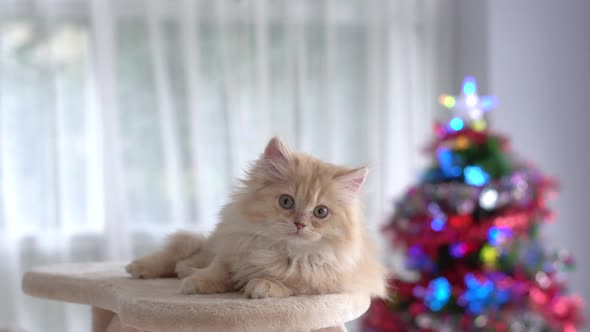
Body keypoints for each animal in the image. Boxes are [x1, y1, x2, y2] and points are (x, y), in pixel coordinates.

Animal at [126, 137, 388, 298]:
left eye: (320, 212)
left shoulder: (328, 280)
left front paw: (263, 285)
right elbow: (217, 270)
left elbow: (294, 282)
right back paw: (145, 267)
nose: (299, 224)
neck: (280, 251)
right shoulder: (231, 252)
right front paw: (196, 283)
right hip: (211, 243)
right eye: (286, 202)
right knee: (179, 253)